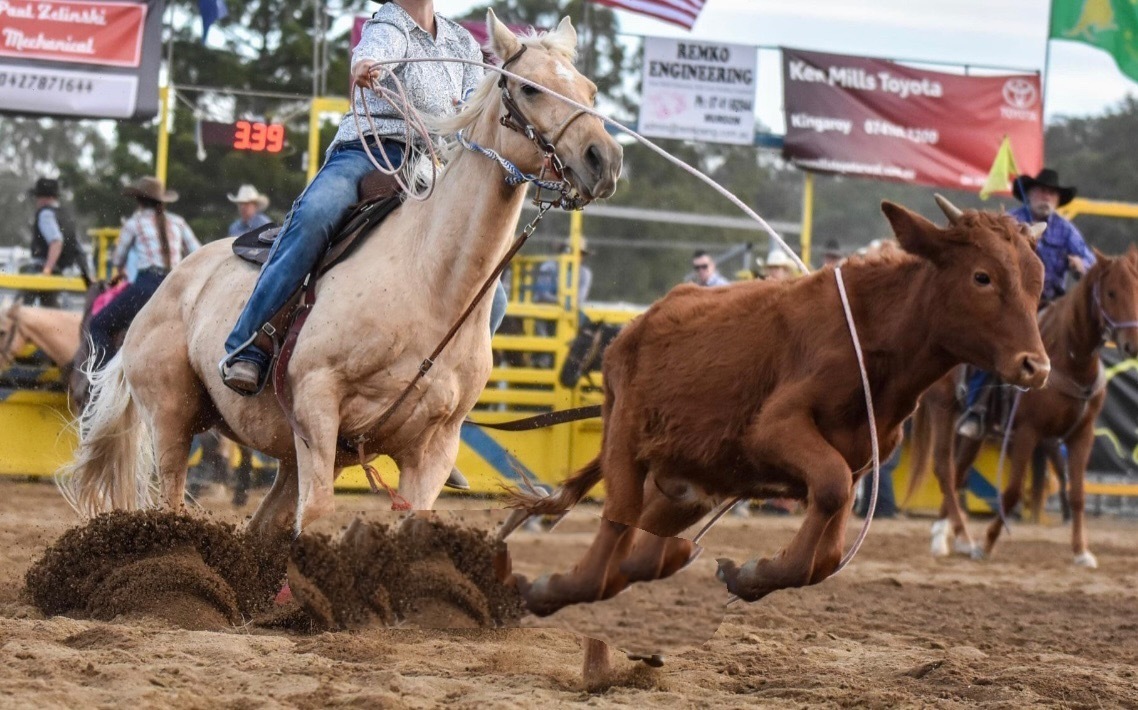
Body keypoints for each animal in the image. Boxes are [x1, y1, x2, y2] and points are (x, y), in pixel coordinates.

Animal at [59, 14, 621, 547]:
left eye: (590, 90)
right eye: (529, 88)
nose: (604, 159)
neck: (430, 284)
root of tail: (168, 284)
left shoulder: (435, 445)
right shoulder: (316, 403)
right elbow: (318, 514)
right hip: (172, 414)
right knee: (173, 494)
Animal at [501, 197, 1049, 674]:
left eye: (1038, 283)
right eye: (982, 276)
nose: (1036, 366)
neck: (877, 333)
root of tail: (633, 328)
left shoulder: (859, 461)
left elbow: (830, 542)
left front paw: (752, 574)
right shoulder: (773, 429)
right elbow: (829, 488)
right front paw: (754, 573)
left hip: (684, 488)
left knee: (637, 551)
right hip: (626, 442)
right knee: (612, 538)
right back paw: (561, 609)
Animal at [904, 246, 1138, 567]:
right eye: (1112, 293)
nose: (1132, 345)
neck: (1071, 360)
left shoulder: (1083, 434)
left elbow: (1077, 494)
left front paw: (1081, 552)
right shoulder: (1029, 432)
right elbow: (1013, 490)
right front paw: (987, 543)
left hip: (974, 432)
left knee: (960, 470)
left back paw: (951, 534)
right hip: (943, 409)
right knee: (944, 469)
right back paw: (953, 538)